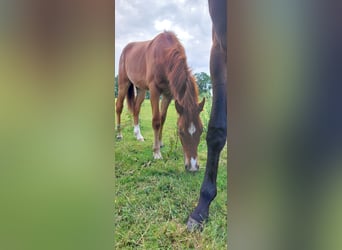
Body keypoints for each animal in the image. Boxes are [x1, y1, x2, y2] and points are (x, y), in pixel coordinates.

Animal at [116, 31, 204, 172]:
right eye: (180, 131)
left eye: (201, 130)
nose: (193, 167)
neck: (164, 55)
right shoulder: (154, 91)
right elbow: (156, 121)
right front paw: (156, 152)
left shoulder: (168, 94)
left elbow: (163, 118)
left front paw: (161, 143)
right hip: (123, 83)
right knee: (119, 107)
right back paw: (119, 134)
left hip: (141, 89)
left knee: (136, 109)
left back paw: (138, 135)